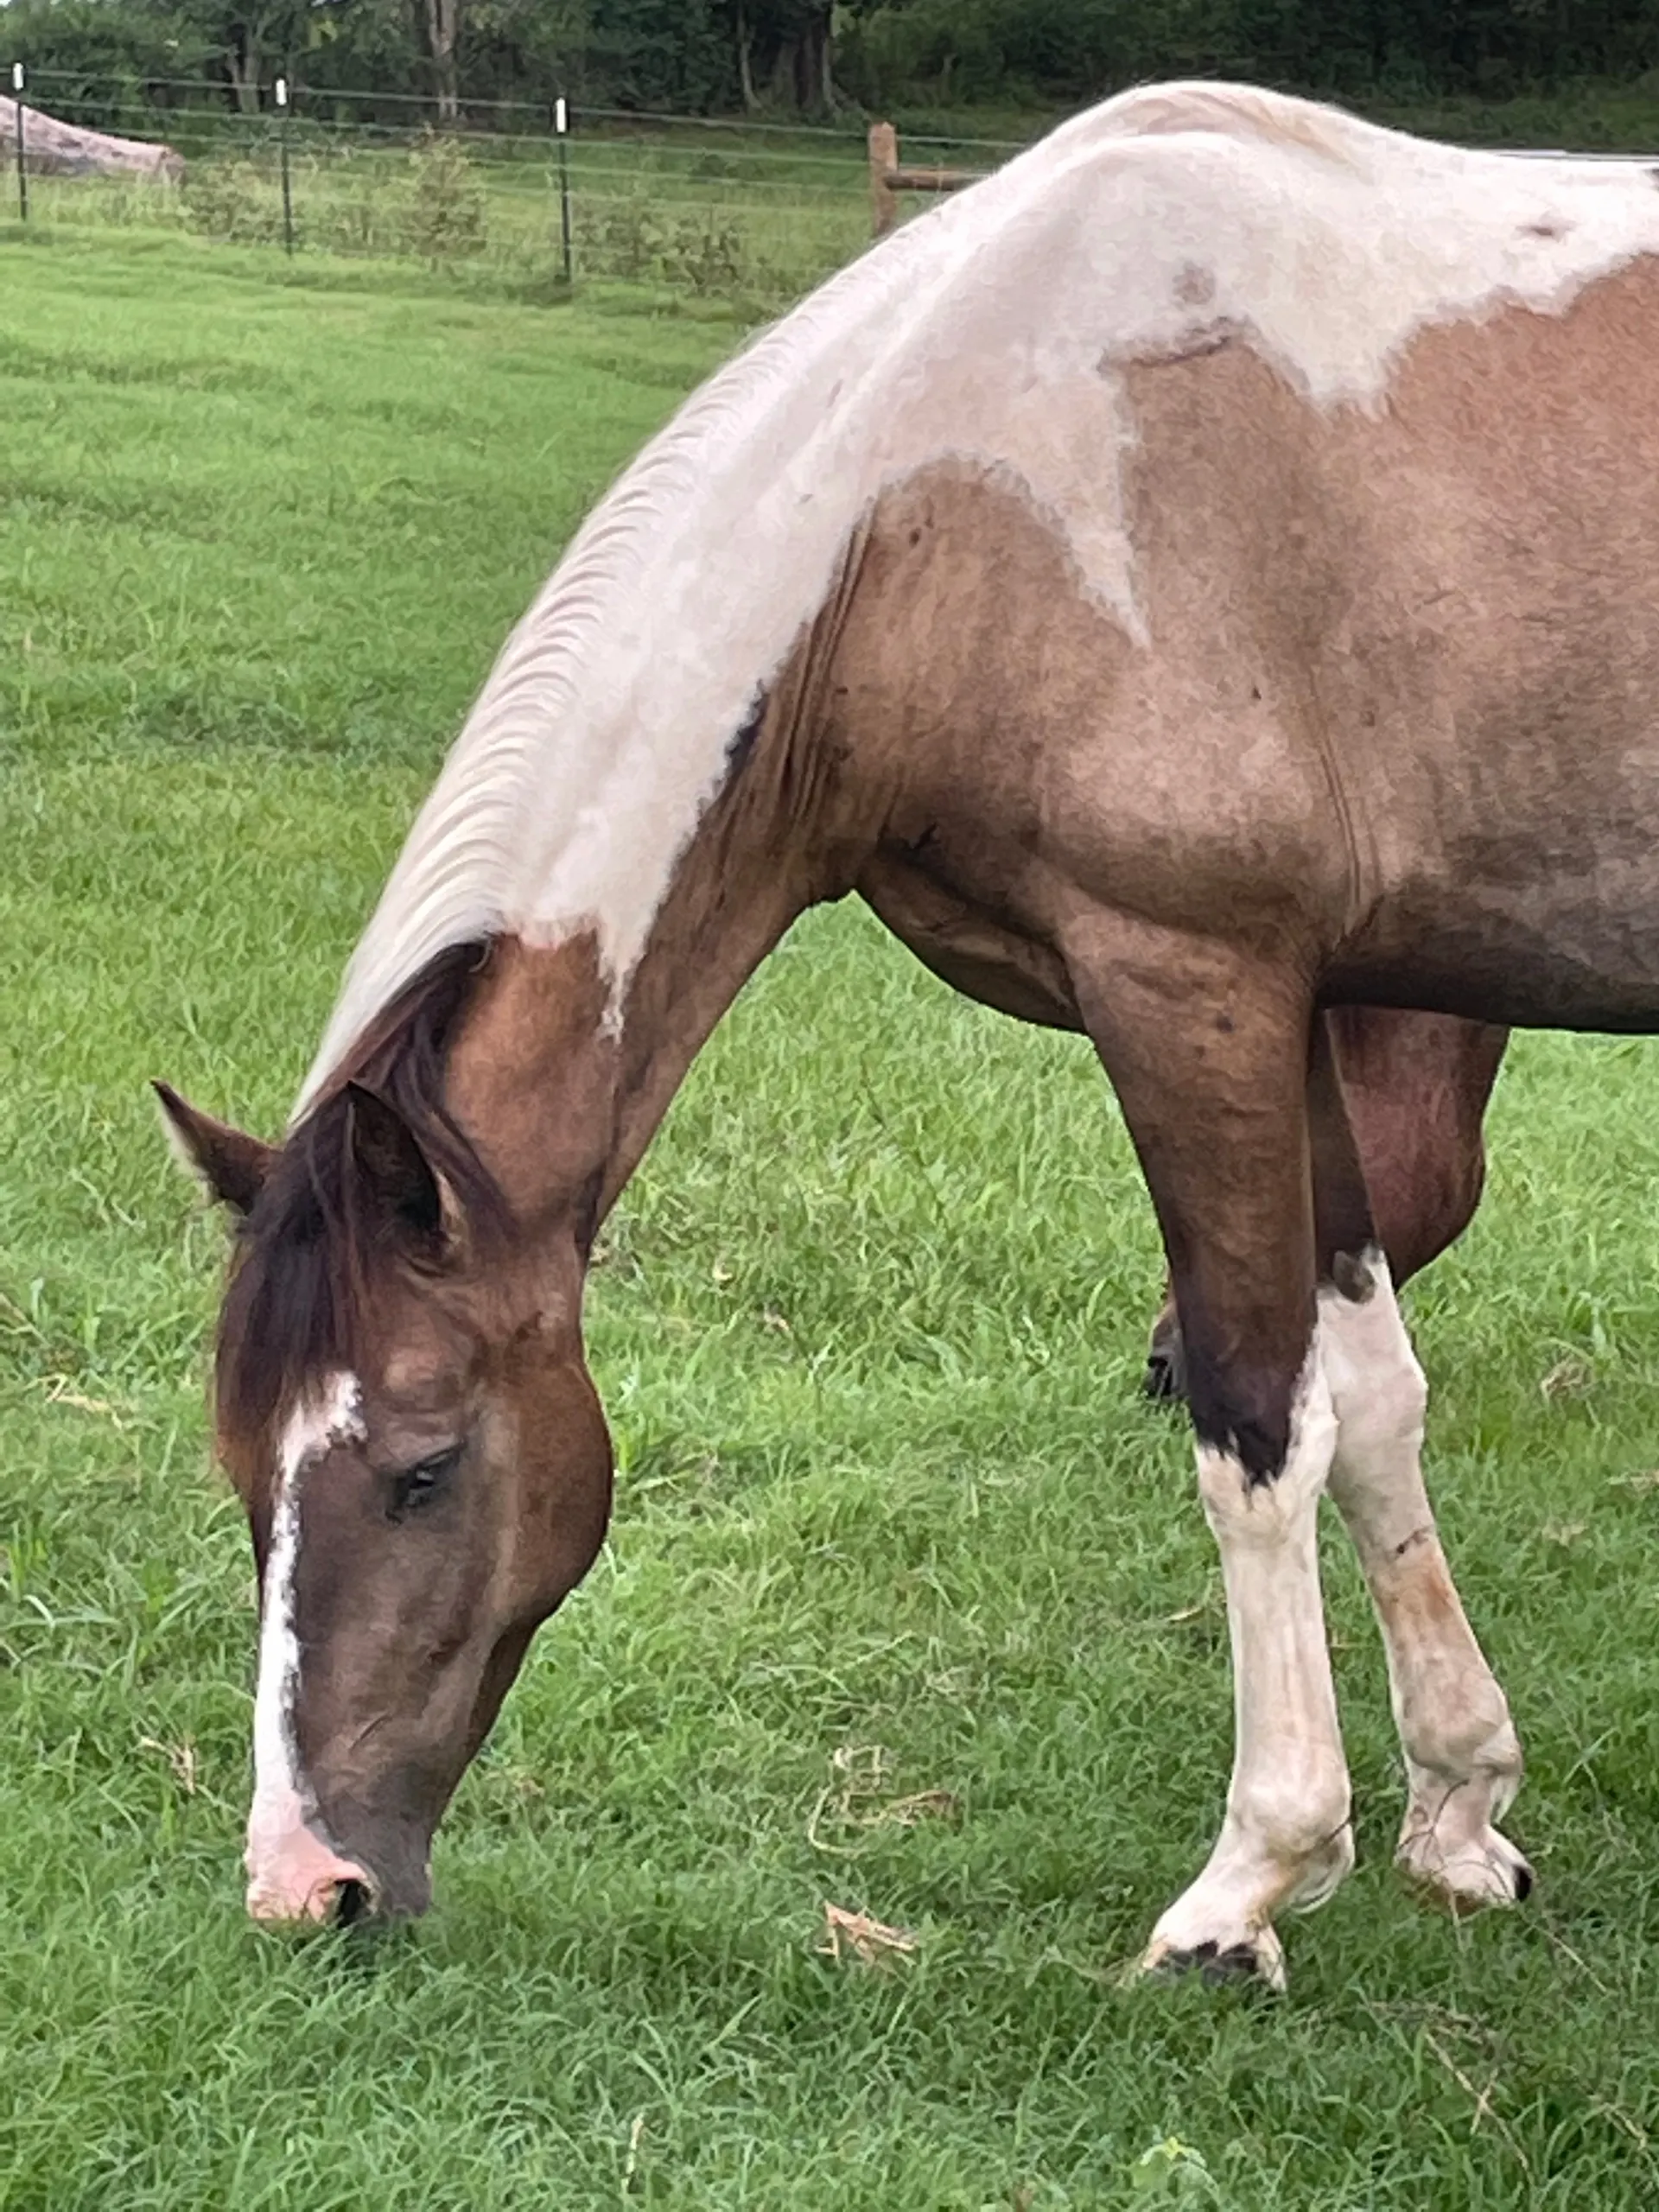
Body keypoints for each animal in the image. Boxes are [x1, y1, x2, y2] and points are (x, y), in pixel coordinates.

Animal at [158, 78, 1659, 1985]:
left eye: (424, 1469)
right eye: (240, 1469)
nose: (307, 1880)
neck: (943, 500)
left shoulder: (1191, 986)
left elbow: (1256, 1421)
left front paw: (1249, 1883)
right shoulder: (1299, 1009)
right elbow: (1375, 1398)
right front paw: (1459, 1814)